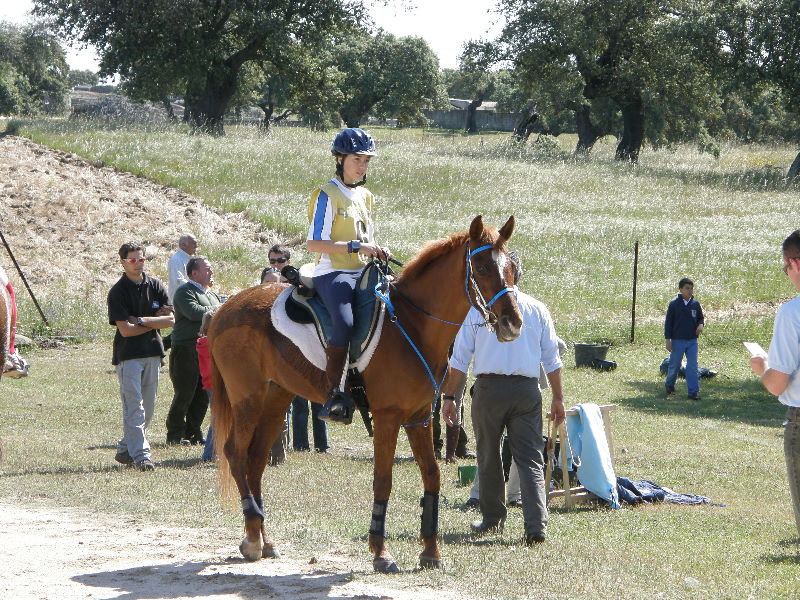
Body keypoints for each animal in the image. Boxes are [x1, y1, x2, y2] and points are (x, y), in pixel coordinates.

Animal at [209, 216, 520, 572]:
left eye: (513, 268)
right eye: (481, 267)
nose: (512, 323)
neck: (413, 324)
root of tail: (227, 307)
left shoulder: (419, 417)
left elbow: (432, 474)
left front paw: (430, 551)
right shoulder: (388, 417)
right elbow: (383, 479)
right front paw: (381, 552)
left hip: (275, 400)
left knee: (256, 460)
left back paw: (264, 539)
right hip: (247, 399)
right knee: (236, 453)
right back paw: (251, 538)